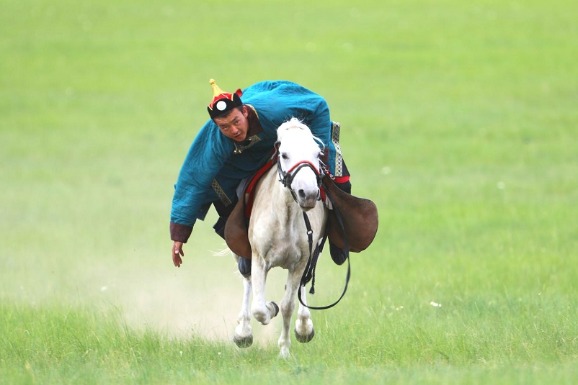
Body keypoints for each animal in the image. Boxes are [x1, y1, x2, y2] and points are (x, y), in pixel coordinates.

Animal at [232, 117, 326, 356]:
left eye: (317, 154)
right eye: (284, 154)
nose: (308, 194)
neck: (285, 219)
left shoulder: (301, 261)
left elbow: (287, 305)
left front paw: (284, 350)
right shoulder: (259, 259)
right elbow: (259, 307)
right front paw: (268, 309)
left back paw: (304, 326)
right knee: (247, 282)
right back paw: (243, 332)